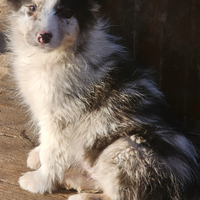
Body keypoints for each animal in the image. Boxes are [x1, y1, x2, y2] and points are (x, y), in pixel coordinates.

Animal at [5, 0, 199, 199]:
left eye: (66, 12)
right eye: (32, 8)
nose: (43, 37)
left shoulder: (62, 118)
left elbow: (52, 152)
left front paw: (40, 181)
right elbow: (45, 142)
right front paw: (37, 155)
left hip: (124, 148)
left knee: (121, 195)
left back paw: (81, 195)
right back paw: (75, 180)